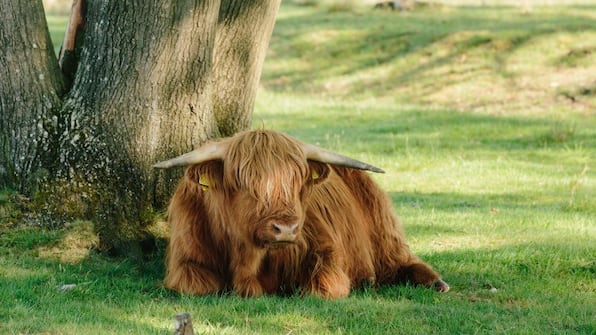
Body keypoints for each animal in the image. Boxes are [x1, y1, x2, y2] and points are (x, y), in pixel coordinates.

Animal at [154, 129, 448, 300]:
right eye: (243, 182)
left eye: (297, 182)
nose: (285, 229)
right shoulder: (186, 261)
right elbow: (198, 285)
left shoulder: (325, 250)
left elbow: (322, 287)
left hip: (383, 228)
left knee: (400, 259)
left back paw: (436, 283)